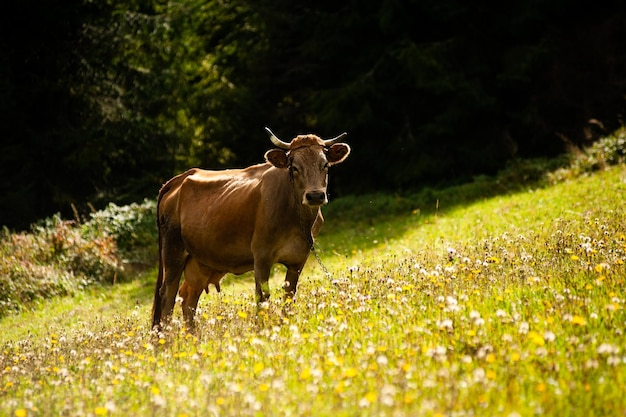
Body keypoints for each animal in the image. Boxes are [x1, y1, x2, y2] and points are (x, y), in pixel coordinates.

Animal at [149, 127, 348, 328]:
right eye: (294, 167)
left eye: (325, 165)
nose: (315, 196)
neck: (298, 218)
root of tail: (179, 178)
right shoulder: (261, 256)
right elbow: (262, 298)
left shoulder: (299, 259)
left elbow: (289, 297)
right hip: (173, 251)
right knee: (167, 294)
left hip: (201, 260)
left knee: (188, 296)